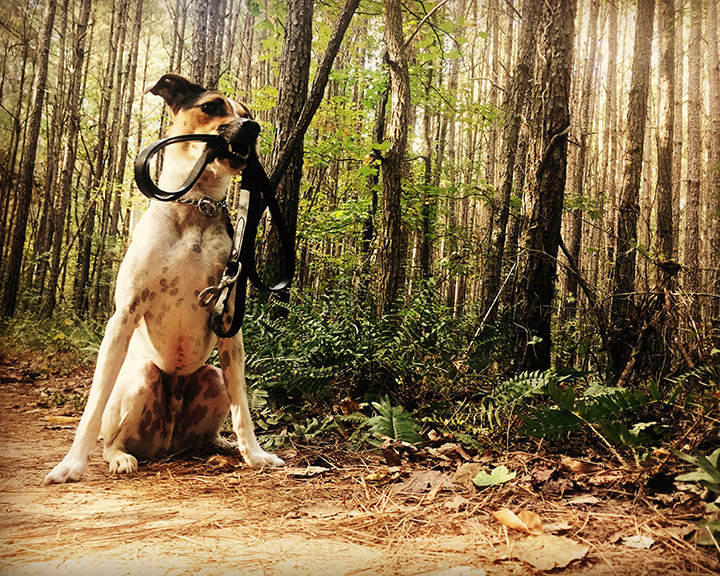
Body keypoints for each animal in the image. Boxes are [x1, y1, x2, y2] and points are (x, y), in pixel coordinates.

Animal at [42, 73, 284, 486]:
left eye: (247, 112)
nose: (253, 127)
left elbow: (243, 407)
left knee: (214, 422)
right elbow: (93, 405)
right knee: (113, 439)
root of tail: (169, 442)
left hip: (213, 376)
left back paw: (222, 445)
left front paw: (255, 454)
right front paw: (70, 464)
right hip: (143, 375)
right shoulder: (123, 315)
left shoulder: (229, 324)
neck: (197, 207)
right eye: (211, 106)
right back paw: (120, 457)